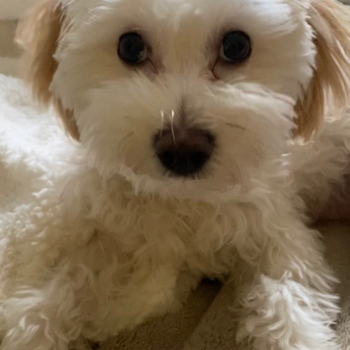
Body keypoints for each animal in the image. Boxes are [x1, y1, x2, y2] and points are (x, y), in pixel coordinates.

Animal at [2, 0, 350, 348]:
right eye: (130, 47)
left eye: (236, 46)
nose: (182, 150)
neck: (184, 197)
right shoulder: (119, 232)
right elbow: (64, 285)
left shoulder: (276, 232)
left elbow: (288, 297)